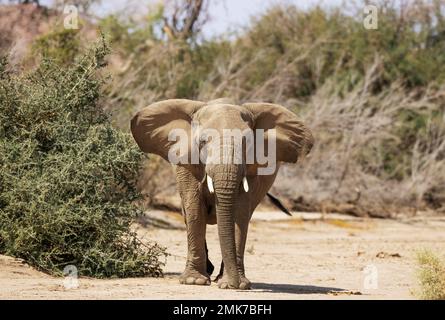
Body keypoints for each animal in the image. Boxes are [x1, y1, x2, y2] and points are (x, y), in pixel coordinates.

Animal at [130, 98, 314, 290]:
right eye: (203, 142)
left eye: (248, 143)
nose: (235, 284)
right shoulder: (186, 165)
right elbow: (195, 210)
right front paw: (194, 281)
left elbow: (240, 213)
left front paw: (235, 284)